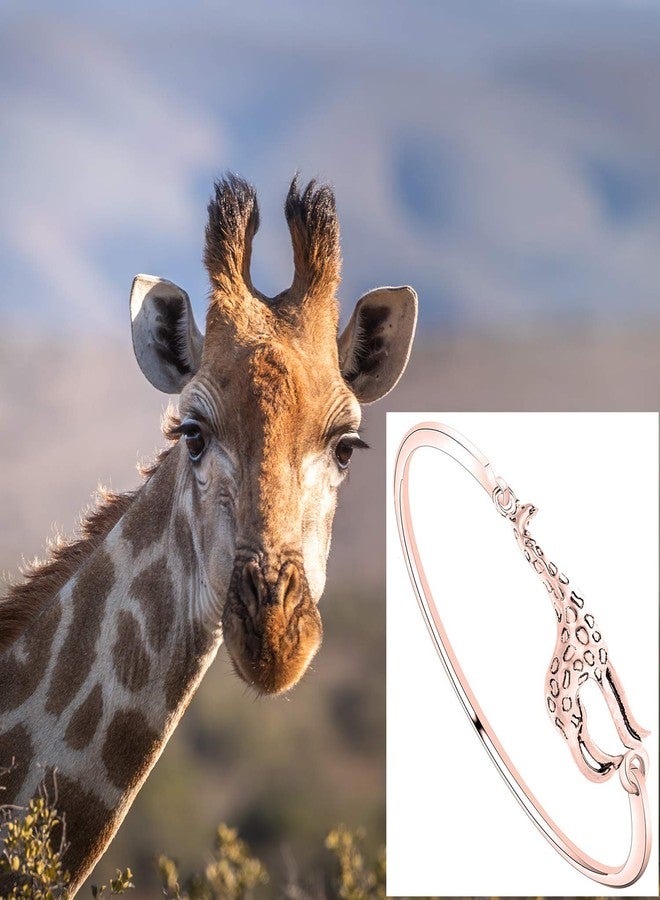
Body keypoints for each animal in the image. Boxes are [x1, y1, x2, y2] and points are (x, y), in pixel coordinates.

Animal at [511, 502, 649, 781]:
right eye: (525, 513)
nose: (533, 507)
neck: (569, 611)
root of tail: (547, 704)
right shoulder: (596, 668)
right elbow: (615, 707)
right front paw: (633, 743)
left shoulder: (606, 661)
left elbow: (623, 702)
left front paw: (641, 733)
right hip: (567, 714)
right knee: (576, 745)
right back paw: (608, 768)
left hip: (576, 710)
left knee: (582, 735)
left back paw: (610, 763)